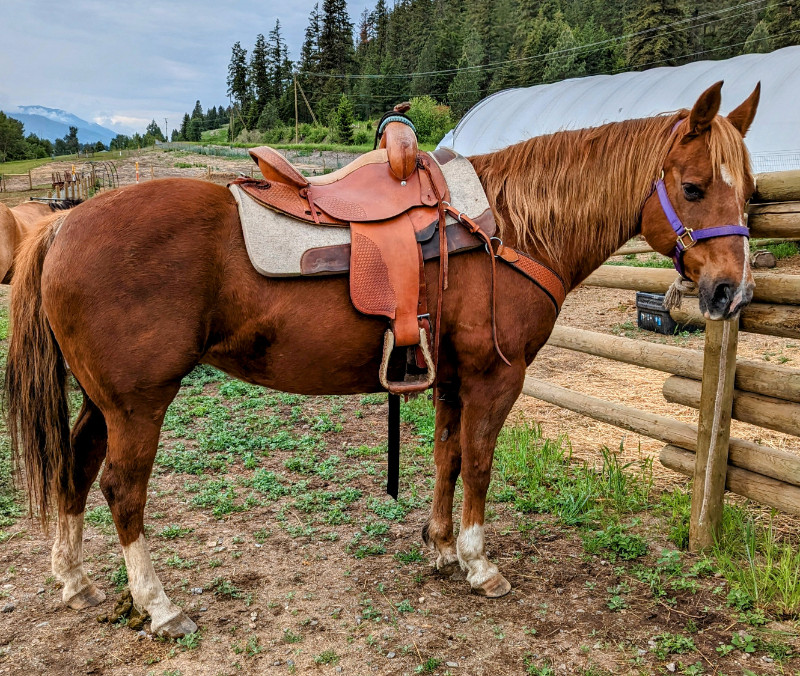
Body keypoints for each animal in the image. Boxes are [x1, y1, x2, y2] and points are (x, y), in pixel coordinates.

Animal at [5, 81, 760, 638]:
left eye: (747, 188)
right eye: (694, 187)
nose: (731, 291)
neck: (510, 229)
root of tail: (63, 223)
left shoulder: (453, 380)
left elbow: (446, 458)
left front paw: (440, 545)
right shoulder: (495, 379)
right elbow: (479, 464)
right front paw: (479, 563)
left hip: (103, 400)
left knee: (75, 469)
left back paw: (74, 581)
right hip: (139, 403)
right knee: (121, 489)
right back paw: (159, 606)